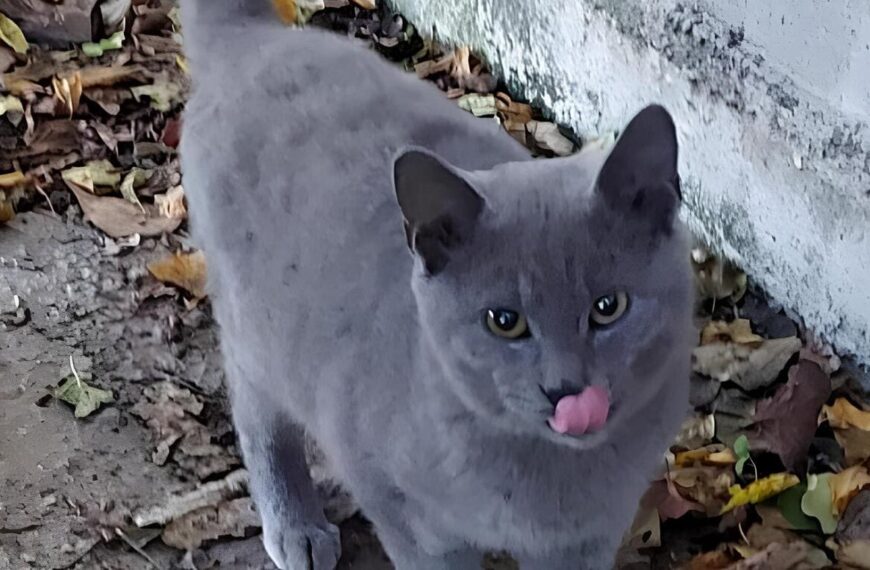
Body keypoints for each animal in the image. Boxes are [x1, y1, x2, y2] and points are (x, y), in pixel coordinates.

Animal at [181, 2, 700, 564]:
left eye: (609, 306)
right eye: (504, 321)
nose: (566, 390)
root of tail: (256, 37)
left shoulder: (591, 536)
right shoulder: (397, 505)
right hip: (255, 329)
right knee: (257, 411)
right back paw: (296, 528)